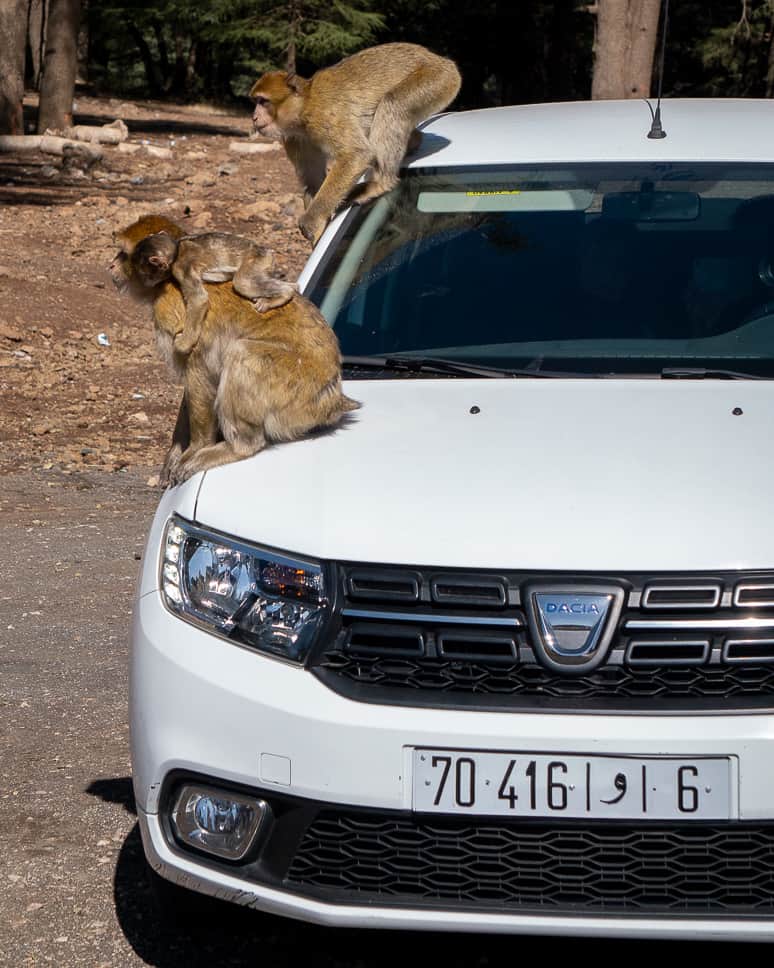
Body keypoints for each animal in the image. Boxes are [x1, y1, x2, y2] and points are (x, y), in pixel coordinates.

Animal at [127, 229, 296, 356]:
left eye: (143, 274)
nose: (144, 283)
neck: (177, 250)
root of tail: (265, 250)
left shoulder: (181, 268)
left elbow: (199, 299)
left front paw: (183, 344)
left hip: (257, 261)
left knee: (242, 282)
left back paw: (286, 293)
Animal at [250, 43, 461, 244]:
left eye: (263, 101)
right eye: (256, 101)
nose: (254, 117)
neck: (303, 108)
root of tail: (437, 58)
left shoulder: (324, 115)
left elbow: (356, 155)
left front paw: (311, 222)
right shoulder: (295, 139)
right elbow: (313, 181)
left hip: (438, 79)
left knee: (393, 103)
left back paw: (381, 182)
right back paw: (413, 141)